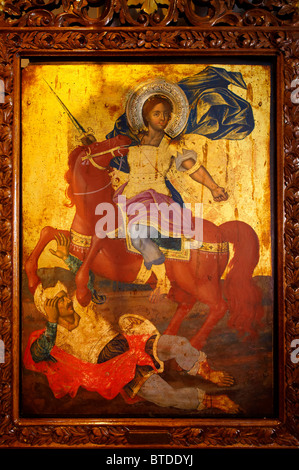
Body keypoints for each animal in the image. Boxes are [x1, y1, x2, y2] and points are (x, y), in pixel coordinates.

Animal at [25, 132, 264, 348]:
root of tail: (221, 232)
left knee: (219, 307)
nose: (122, 138)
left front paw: (83, 295)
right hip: (181, 284)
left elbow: (92, 251)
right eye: (98, 144)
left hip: (202, 284)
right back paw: (166, 338)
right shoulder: (76, 243)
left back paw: (195, 343)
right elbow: (48, 231)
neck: (92, 212)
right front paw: (33, 279)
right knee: (186, 303)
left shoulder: (106, 245)